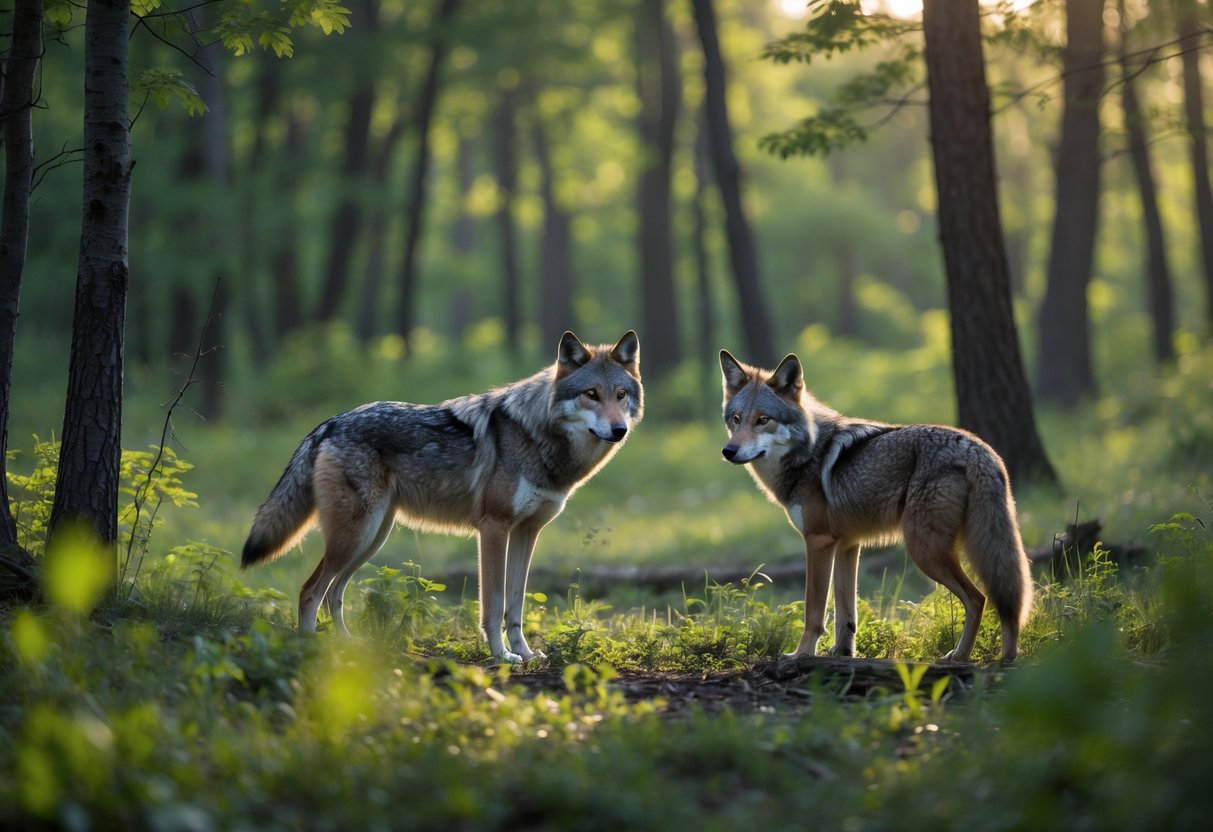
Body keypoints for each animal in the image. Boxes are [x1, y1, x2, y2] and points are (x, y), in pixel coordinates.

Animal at [242, 331, 642, 663]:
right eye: (591, 394)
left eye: (621, 395)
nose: (619, 430)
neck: (538, 436)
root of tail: (328, 424)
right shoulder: (494, 528)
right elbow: (494, 604)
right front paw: (502, 657)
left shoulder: (527, 533)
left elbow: (515, 606)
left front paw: (526, 654)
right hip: (356, 537)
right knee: (310, 592)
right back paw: (310, 649)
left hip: (370, 539)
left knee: (333, 594)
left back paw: (349, 646)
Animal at [719, 349, 1031, 663]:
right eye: (736, 419)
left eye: (763, 420)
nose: (728, 451)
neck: (807, 454)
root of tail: (978, 449)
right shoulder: (846, 545)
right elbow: (846, 614)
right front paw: (843, 653)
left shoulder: (818, 541)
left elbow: (814, 612)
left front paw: (802, 655)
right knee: (1003, 597)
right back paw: (1005, 656)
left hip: (925, 550)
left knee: (979, 598)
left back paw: (962, 656)